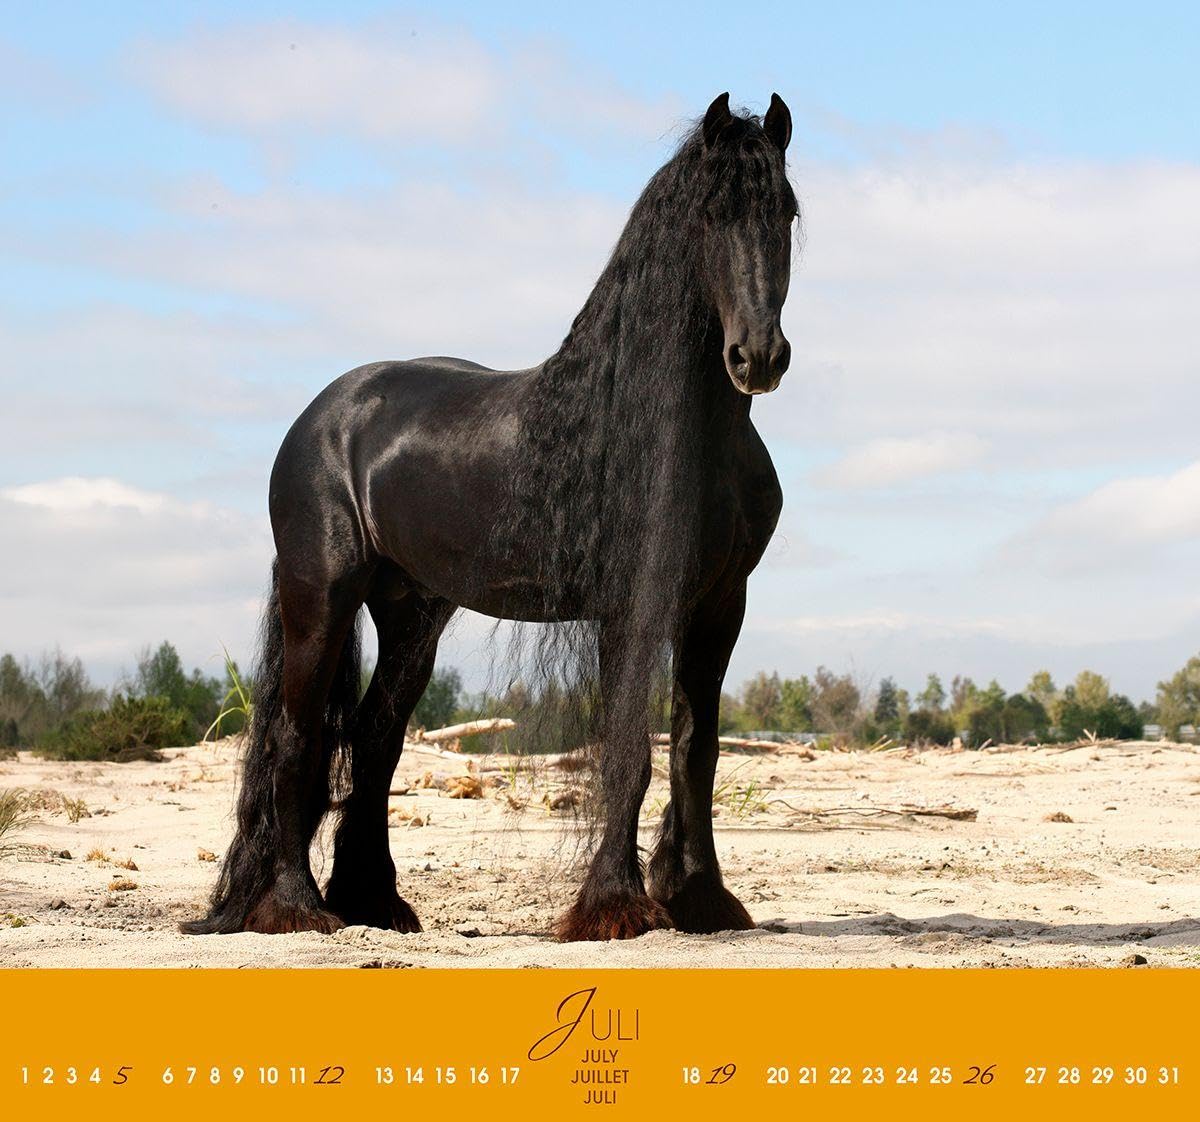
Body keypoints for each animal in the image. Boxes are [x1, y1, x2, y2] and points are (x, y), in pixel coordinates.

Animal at [183, 92, 797, 942]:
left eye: (788, 211)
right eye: (711, 216)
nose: (759, 358)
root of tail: (323, 416)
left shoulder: (717, 606)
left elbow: (694, 749)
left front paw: (702, 899)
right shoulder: (626, 608)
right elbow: (628, 749)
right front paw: (613, 906)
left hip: (412, 615)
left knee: (373, 740)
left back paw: (374, 902)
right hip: (322, 597)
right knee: (297, 738)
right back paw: (298, 908)